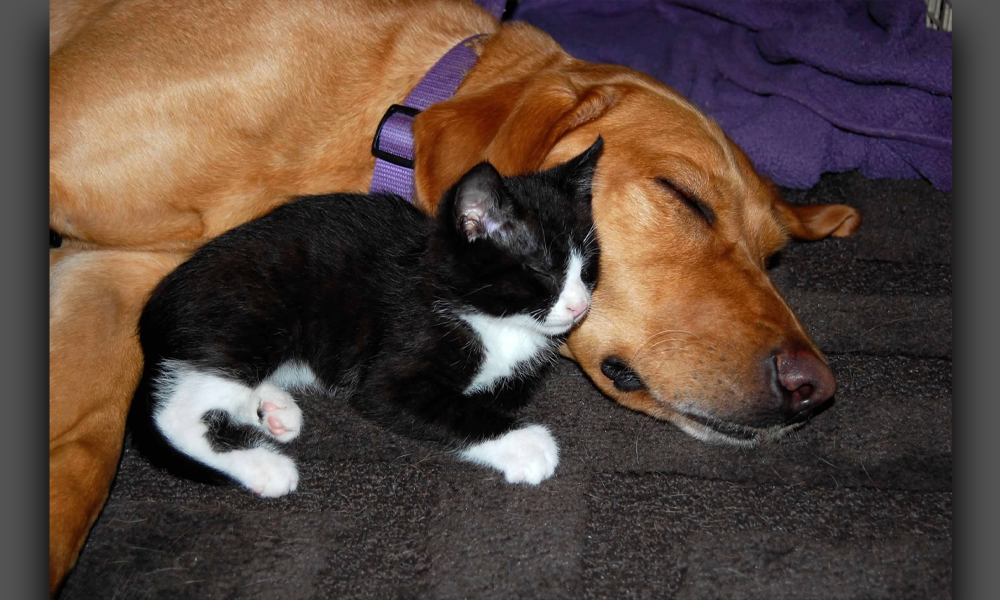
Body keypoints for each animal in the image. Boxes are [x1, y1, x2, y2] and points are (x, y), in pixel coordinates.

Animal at [131, 139, 600, 496]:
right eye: (541, 271)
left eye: (588, 266)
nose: (580, 306)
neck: (494, 321)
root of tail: (158, 307)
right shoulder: (396, 363)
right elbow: (450, 407)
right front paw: (526, 443)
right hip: (248, 316)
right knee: (178, 413)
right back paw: (265, 466)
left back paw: (273, 408)